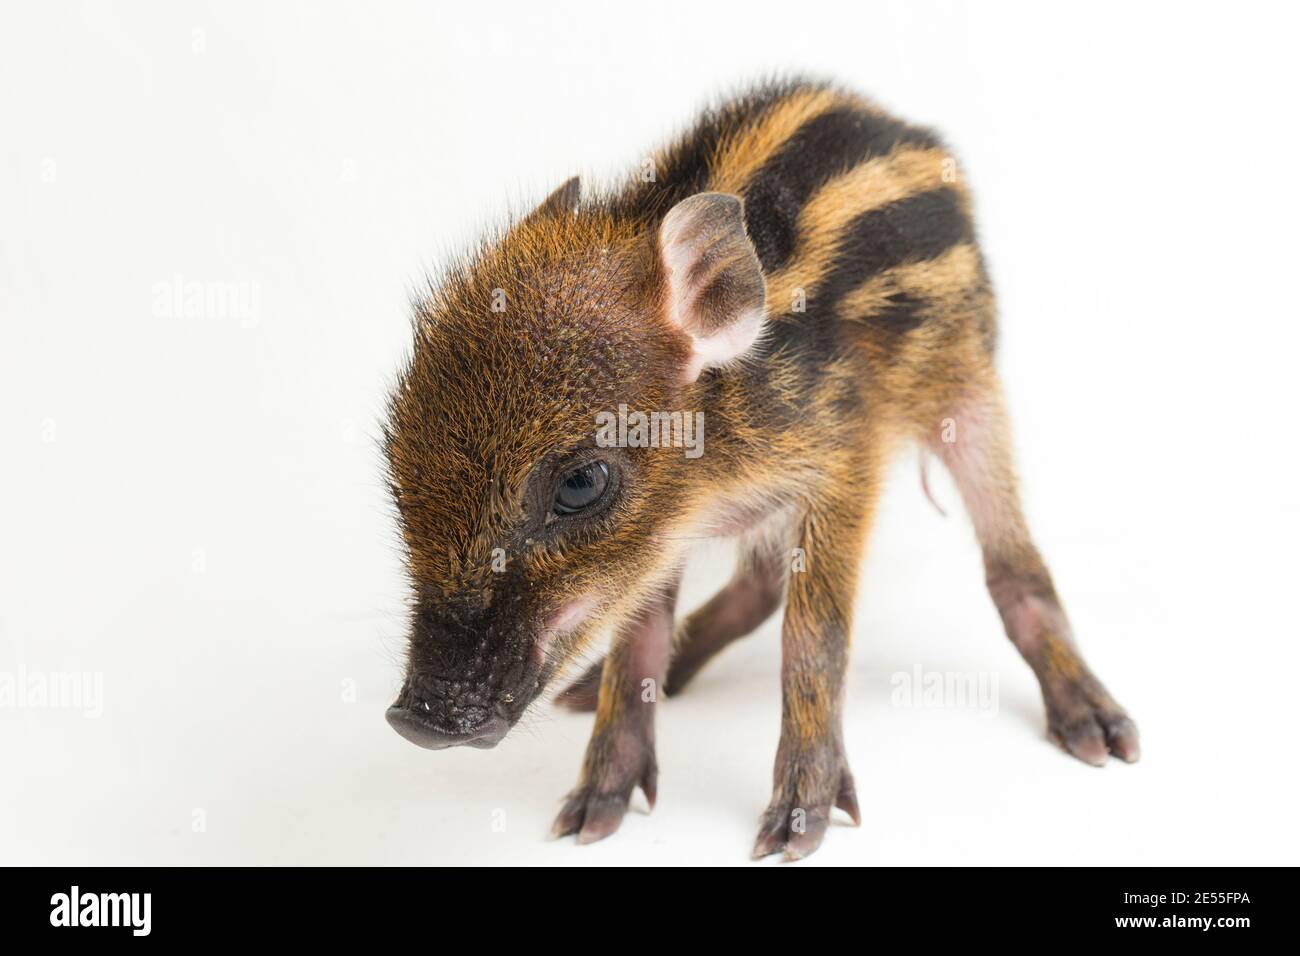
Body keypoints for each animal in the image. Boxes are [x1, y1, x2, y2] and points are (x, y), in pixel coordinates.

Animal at [382, 77, 1139, 860]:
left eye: (580, 483)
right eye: (395, 466)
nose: (420, 720)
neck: (718, 466)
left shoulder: (844, 463)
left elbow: (813, 638)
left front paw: (796, 826)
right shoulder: (659, 543)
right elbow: (639, 643)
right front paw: (593, 810)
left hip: (970, 391)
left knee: (1012, 567)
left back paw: (1098, 730)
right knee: (757, 586)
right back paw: (587, 690)